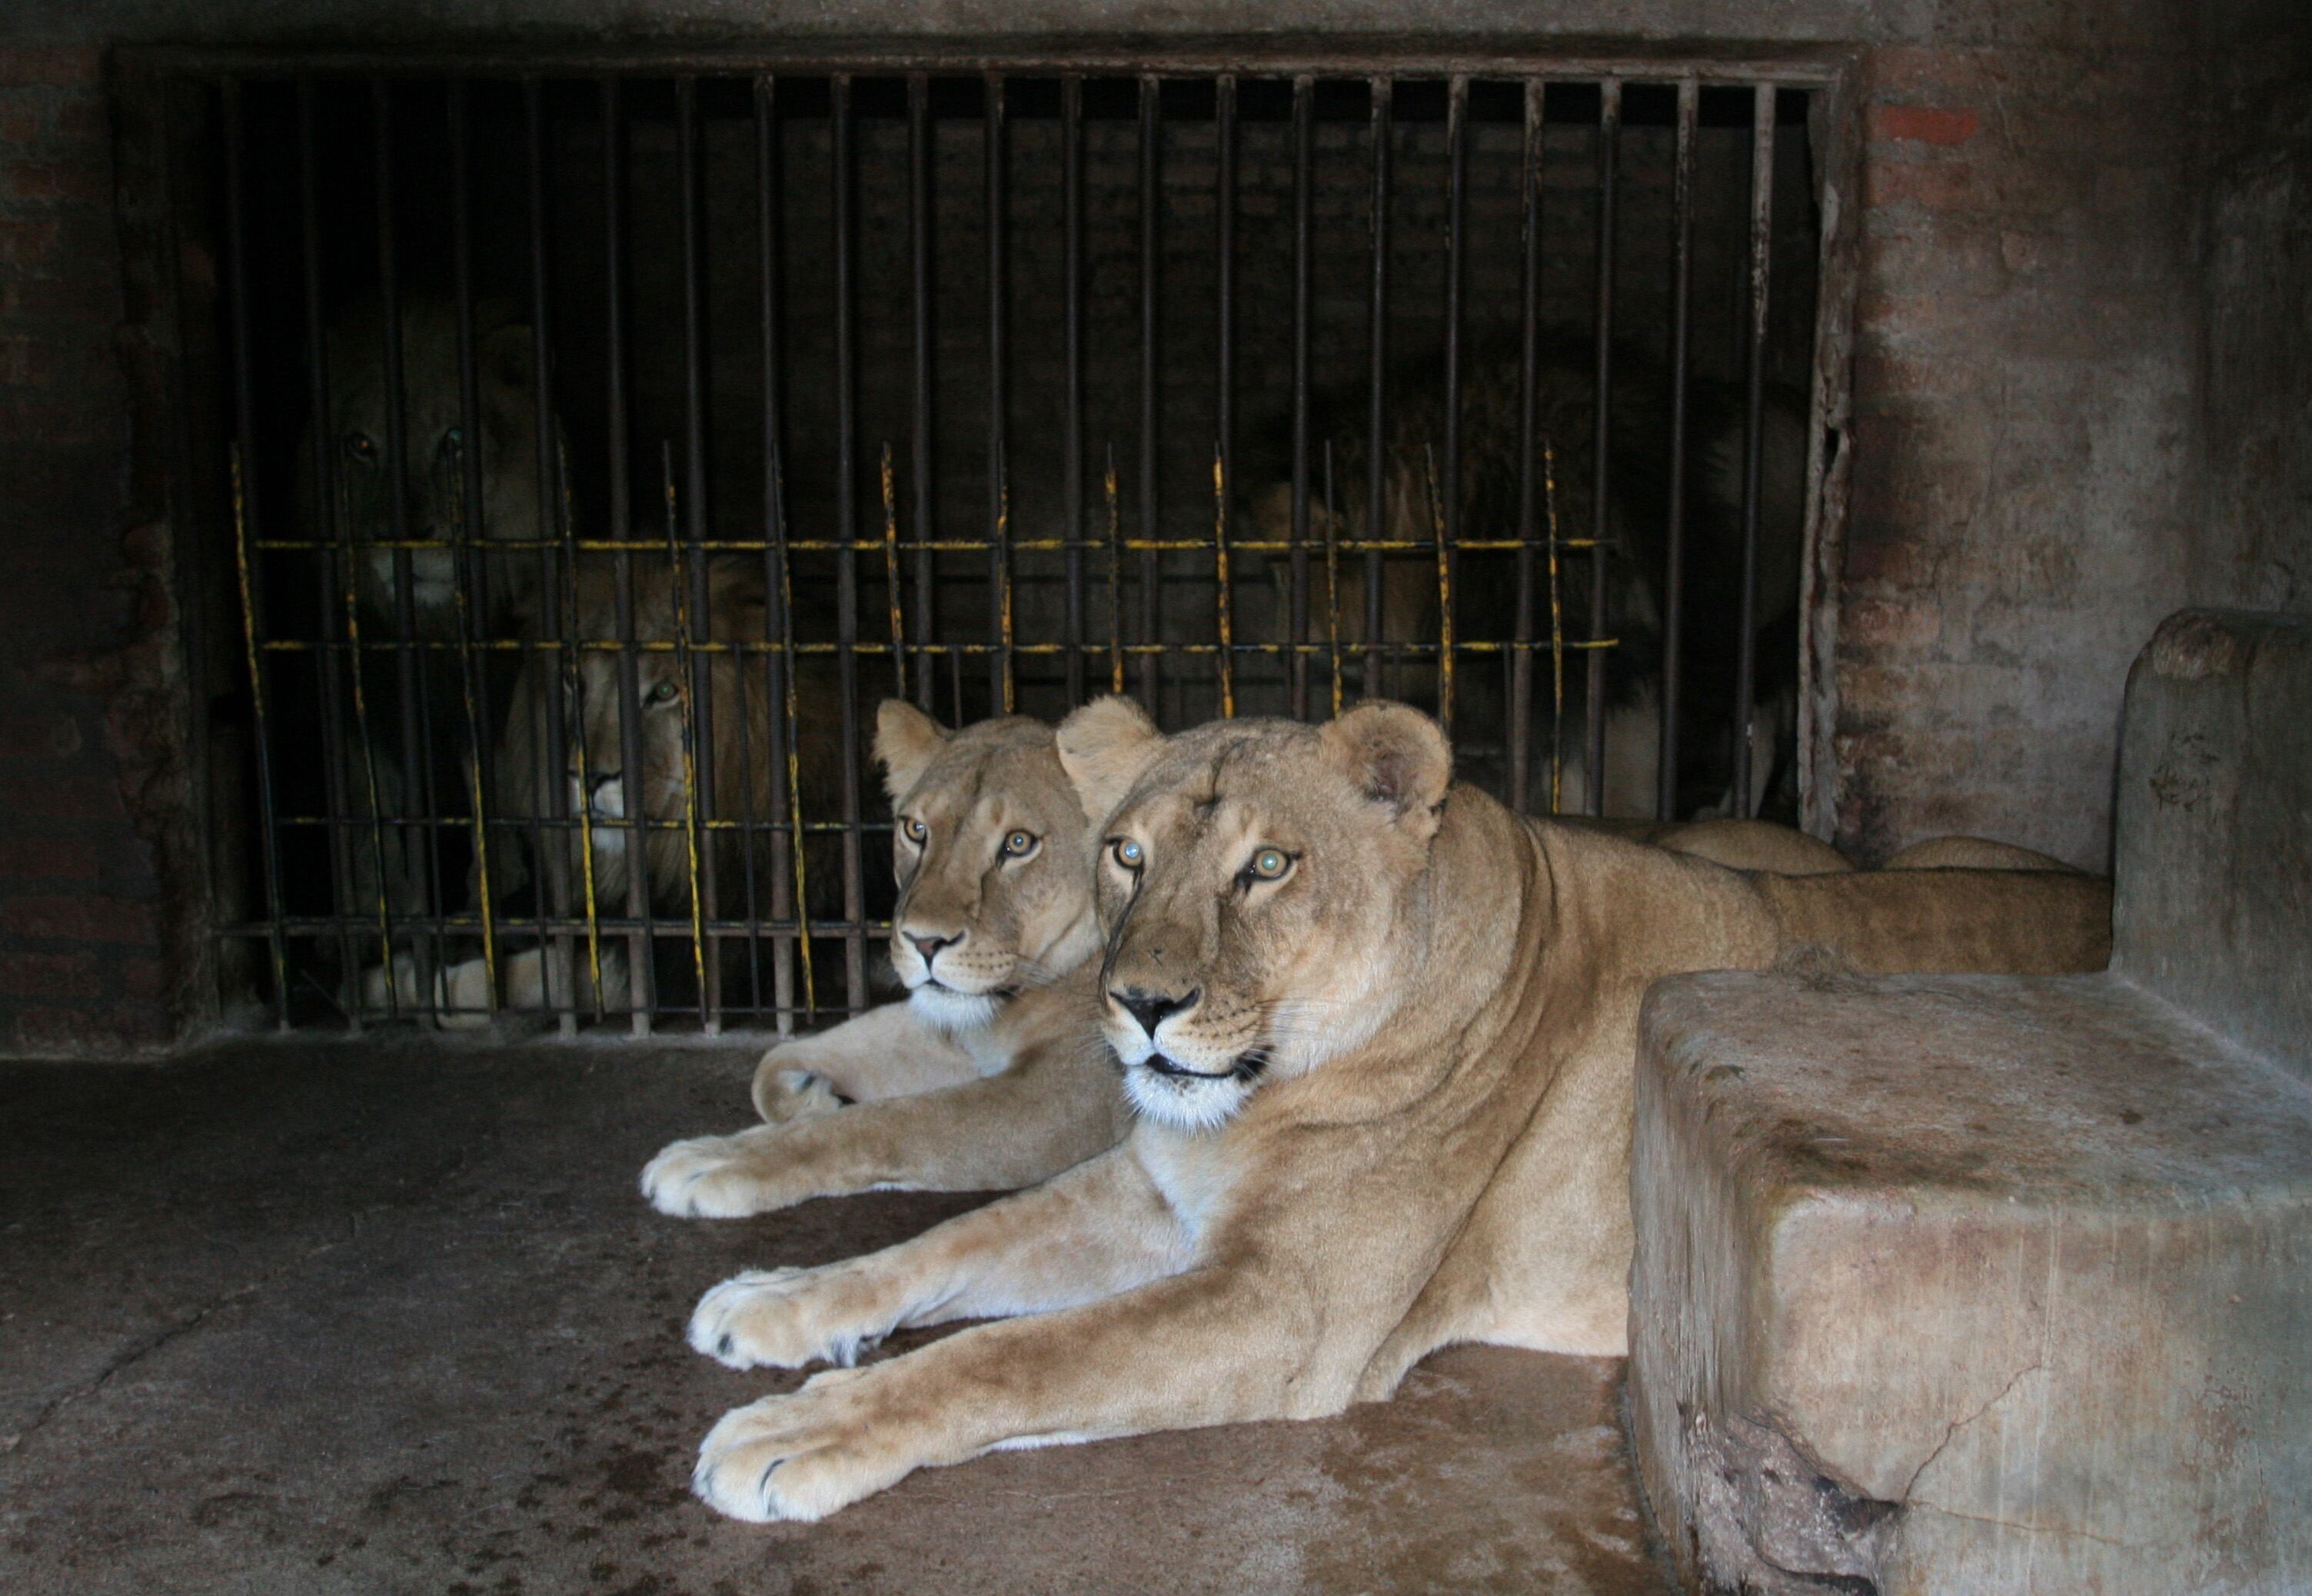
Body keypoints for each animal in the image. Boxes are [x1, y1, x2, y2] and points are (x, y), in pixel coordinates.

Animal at [675, 693, 2117, 1517]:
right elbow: (943, 1244)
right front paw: (776, 1301)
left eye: (1266, 867)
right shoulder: (1150, 1191)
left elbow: (1012, 1355)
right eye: (1124, 854)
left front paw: (796, 1431)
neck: (1279, 1081)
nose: (1136, 1005)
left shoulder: (1289, 1308)